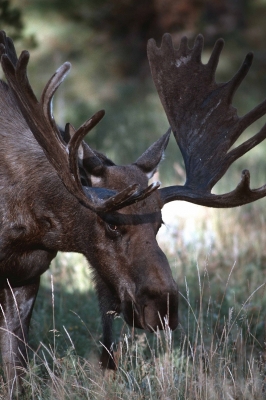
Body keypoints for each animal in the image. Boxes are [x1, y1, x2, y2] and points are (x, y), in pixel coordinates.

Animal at [0, 30, 266, 394]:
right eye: (112, 224)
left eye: (160, 223)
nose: (164, 307)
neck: (29, 223)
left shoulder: (27, 276)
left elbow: (16, 370)